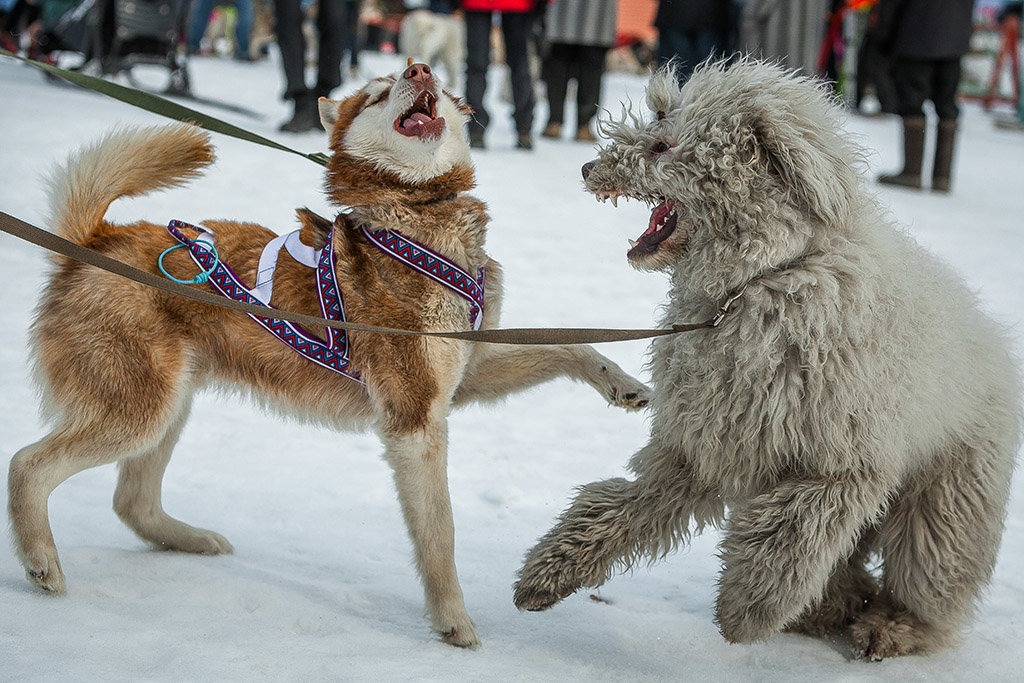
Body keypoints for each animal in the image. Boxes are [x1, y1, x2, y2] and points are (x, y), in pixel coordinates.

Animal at [6, 62, 647, 647]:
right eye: (380, 93)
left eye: (430, 79)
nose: (420, 69)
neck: (418, 216)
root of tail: (94, 241)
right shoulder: (416, 417)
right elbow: (440, 534)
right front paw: (454, 623)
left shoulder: (465, 373)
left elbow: (569, 343)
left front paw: (622, 384)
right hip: (138, 409)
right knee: (27, 465)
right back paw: (41, 562)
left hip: (168, 405)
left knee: (132, 500)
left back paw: (191, 540)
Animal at [516, 61, 1019, 659]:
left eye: (664, 145)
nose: (588, 166)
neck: (763, 278)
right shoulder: (701, 441)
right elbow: (621, 504)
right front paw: (549, 572)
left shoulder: (841, 467)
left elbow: (790, 533)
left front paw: (744, 613)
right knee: (847, 567)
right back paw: (831, 607)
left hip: (948, 493)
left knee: (929, 570)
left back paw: (894, 626)